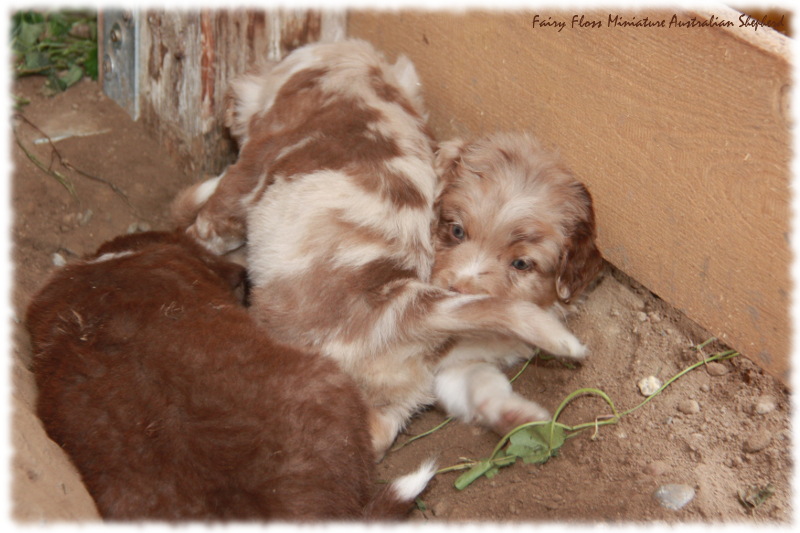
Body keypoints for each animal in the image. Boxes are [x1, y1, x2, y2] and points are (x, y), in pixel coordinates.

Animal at [428, 133, 604, 436]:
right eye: (457, 230)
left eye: (521, 264)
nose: (458, 294)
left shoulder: (458, 364)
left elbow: (480, 382)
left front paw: (521, 417)